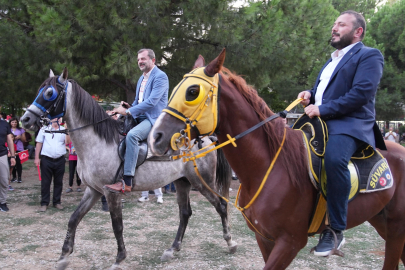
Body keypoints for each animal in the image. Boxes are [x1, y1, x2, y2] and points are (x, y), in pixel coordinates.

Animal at [20, 68, 237, 268]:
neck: (97, 141)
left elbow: (117, 226)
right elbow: (74, 219)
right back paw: (172, 249)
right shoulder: (93, 190)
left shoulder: (111, 192)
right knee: (185, 213)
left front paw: (119, 259)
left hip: (202, 181)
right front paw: (64, 257)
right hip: (182, 182)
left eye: (49, 93)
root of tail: (207, 138)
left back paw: (230, 242)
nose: (25, 119)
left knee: (221, 205)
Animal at [148, 49, 404, 270]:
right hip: (380, 219)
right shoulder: (265, 238)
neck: (269, 168)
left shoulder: (290, 242)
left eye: (192, 92)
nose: (155, 137)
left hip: (395, 226)